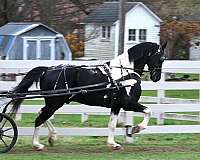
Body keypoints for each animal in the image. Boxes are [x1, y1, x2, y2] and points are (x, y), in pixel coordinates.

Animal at [10, 41, 166, 150]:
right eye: (161, 58)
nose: (156, 77)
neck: (124, 73)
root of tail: (47, 70)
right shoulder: (128, 103)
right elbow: (148, 111)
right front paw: (136, 128)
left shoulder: (116, 105)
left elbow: (112, 125)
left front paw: (112, 143)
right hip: (55, 102)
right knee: (40, 118)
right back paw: (37, 144)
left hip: (53, 102)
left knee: (41, 113)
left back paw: (52, 137)